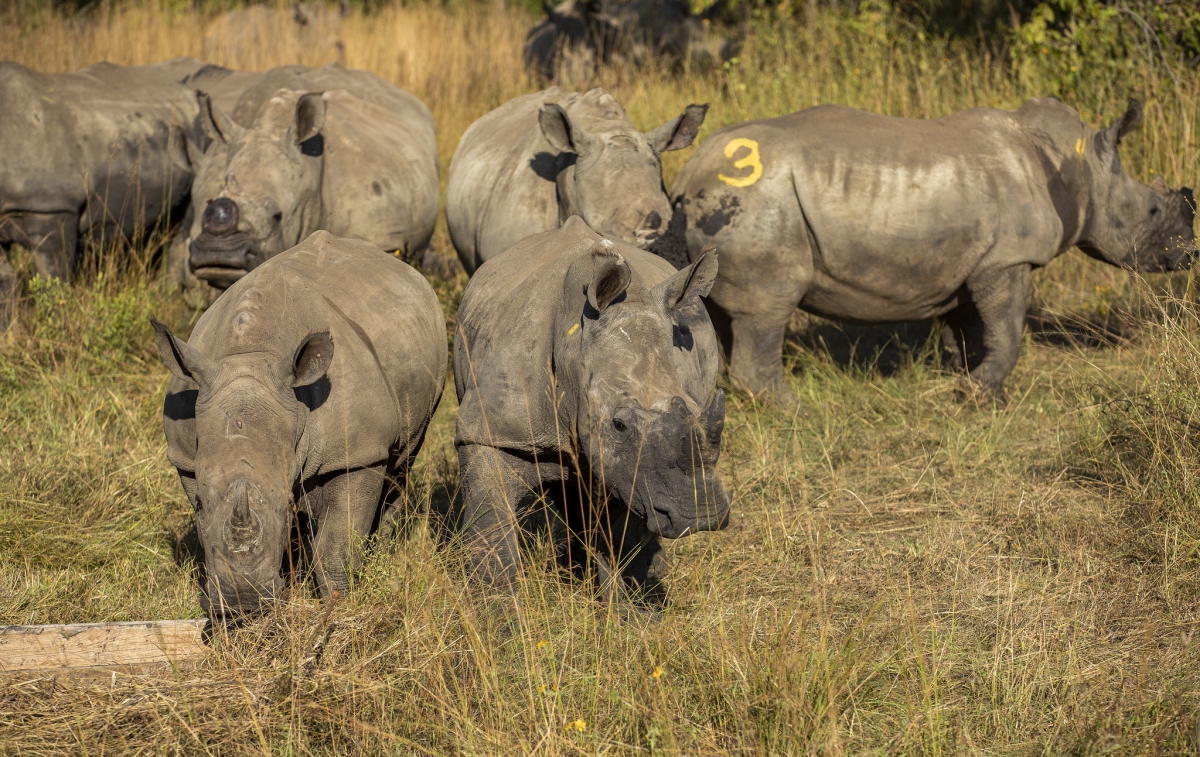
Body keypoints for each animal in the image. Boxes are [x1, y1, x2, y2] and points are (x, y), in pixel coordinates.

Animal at [153, 231, 446, 619]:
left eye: (285, 502)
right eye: (199, 504)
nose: (242, 602)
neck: (251, 355)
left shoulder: (358, 453)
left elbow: (336, 549)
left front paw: (338, 608)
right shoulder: (186, 459)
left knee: (403, 462)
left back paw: (383, 553)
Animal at [454, 217, 730, 598]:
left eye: (695, 407)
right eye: (619, 424)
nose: (701, 516)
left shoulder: (633, 467)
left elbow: (621, 537)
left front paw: (629, 608)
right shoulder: (491, 432)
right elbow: (491, 531)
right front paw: (499, 611)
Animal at [670, 98, 1197, 404]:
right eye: (1152, 209)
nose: (1189, 254)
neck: (1078, 166)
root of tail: (687, 174)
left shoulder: (971, 260)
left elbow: (970, 330)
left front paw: (969, 386)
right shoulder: (1008, 258)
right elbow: (1008, 328)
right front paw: (978, 394)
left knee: (718, 315)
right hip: (757, 201)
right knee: (768, 307)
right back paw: (794, 407)